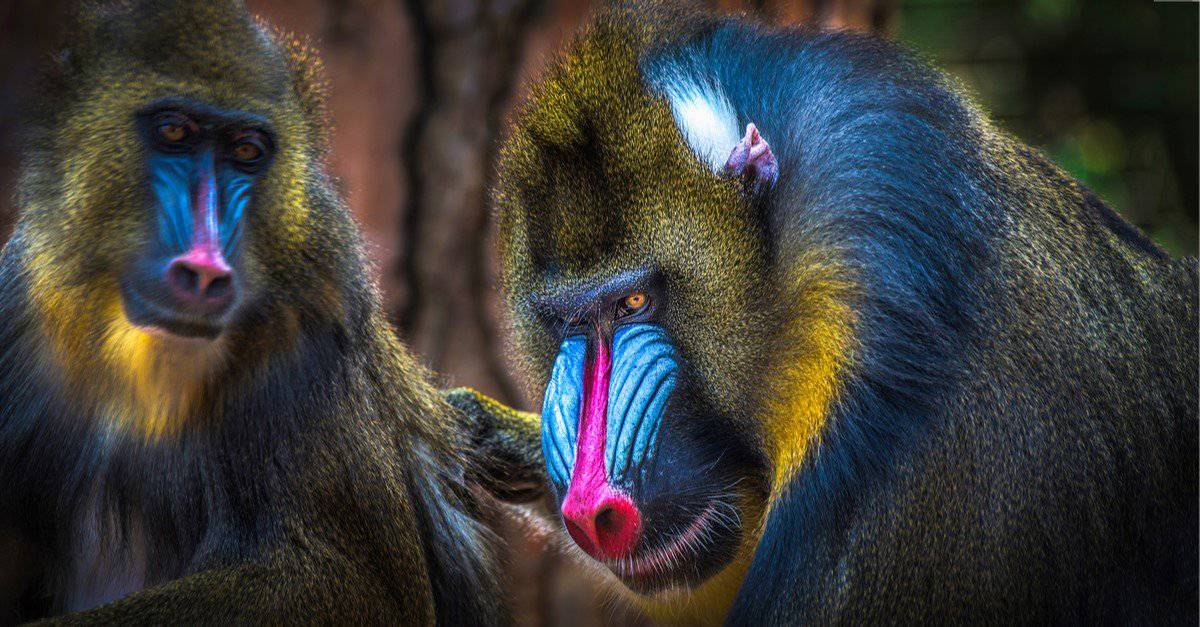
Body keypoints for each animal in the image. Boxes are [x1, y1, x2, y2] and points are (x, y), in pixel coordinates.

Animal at [0, 1, 508, 623]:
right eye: (174, 132)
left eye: (246, 152)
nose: (205, 270)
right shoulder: (21, 299)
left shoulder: (306, 340)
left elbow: (359, 586)